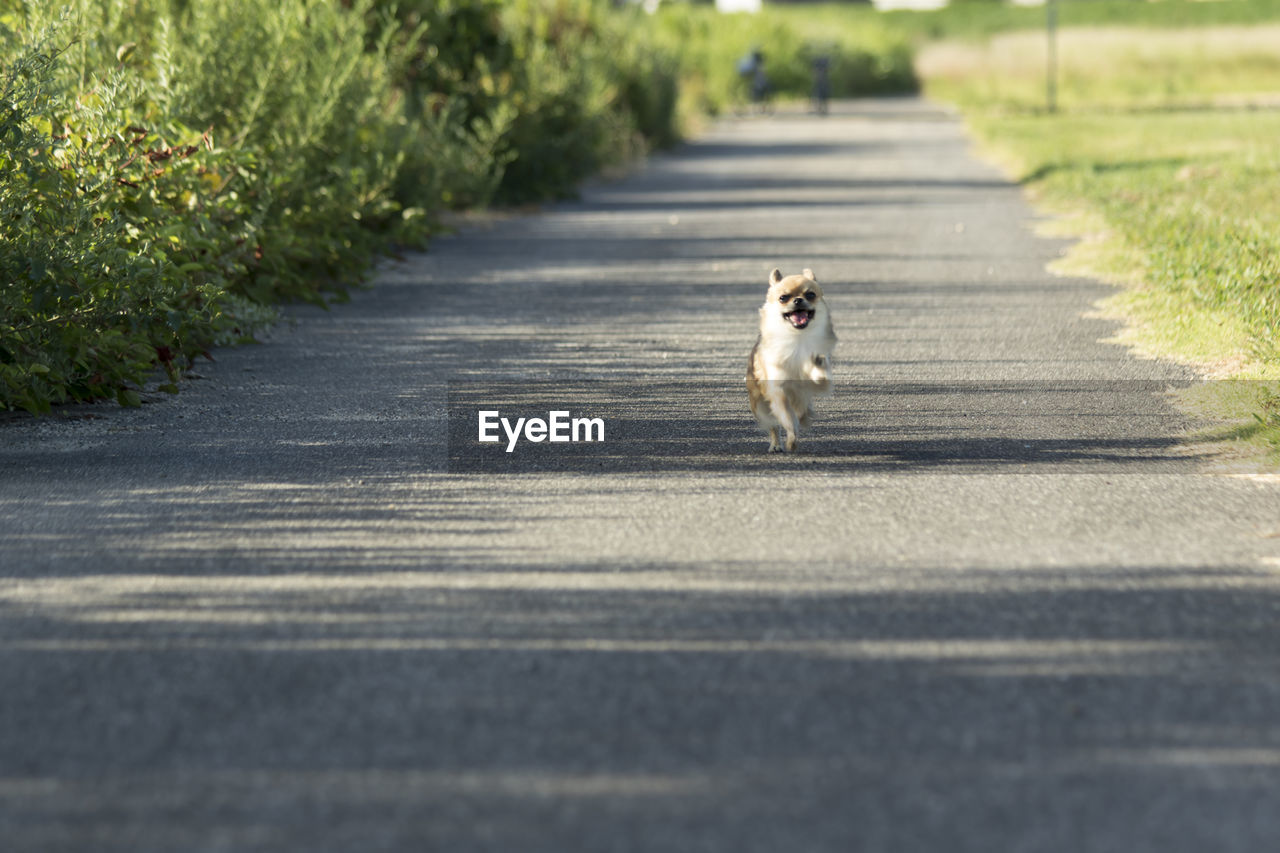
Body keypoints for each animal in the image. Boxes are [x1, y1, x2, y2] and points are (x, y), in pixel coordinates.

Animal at [747, 267, 834, 450]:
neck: (797, 339)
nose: (798, 300)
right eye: (783, 298)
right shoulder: (778, 390)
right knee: (774, 424)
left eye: (810, 295)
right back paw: (776, 445)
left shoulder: (816, 384)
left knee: (803, 408)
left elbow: (819, 376)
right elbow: (787, 418)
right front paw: (791, 439)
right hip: (760, 405)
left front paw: (817, 364)